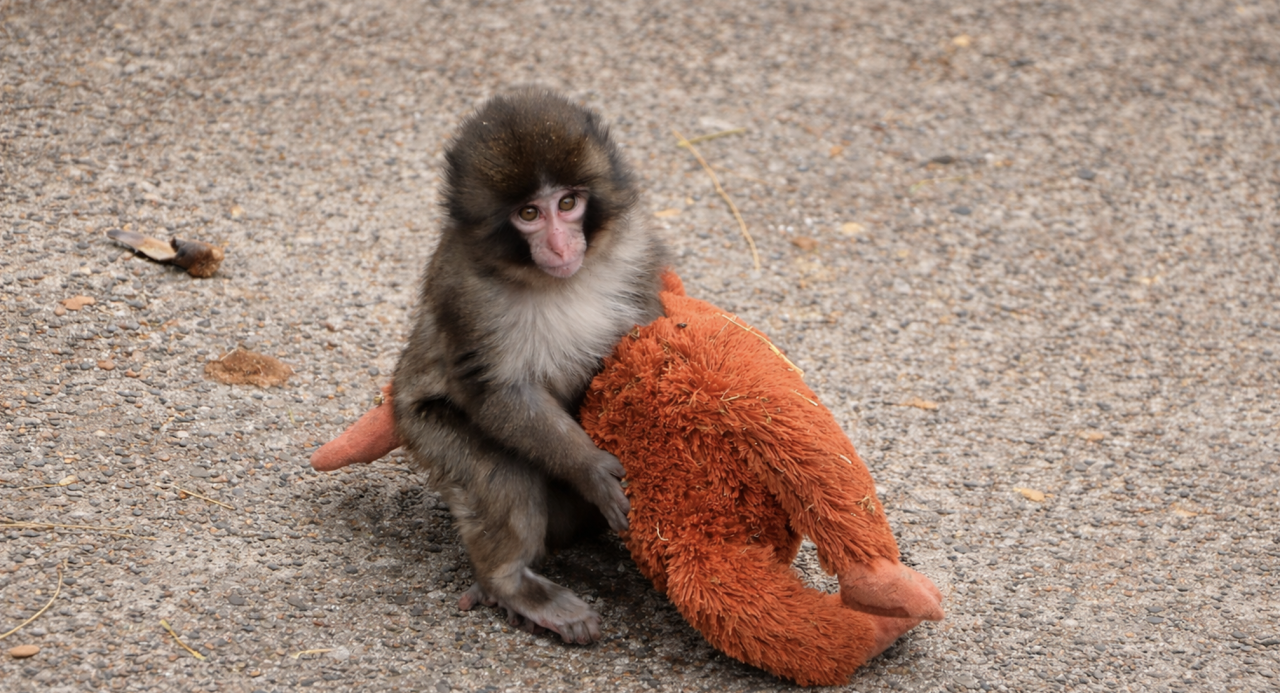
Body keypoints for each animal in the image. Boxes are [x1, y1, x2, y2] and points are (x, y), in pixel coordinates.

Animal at [392, 89, 668, 645]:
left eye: (567, 204)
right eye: (528, 213)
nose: (560, 245)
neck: (555, 281)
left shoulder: (638, 249)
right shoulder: (464, 292)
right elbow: (499, 392)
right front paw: (589, 467)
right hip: (422, 428)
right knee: (502, 474)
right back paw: (512, 585)